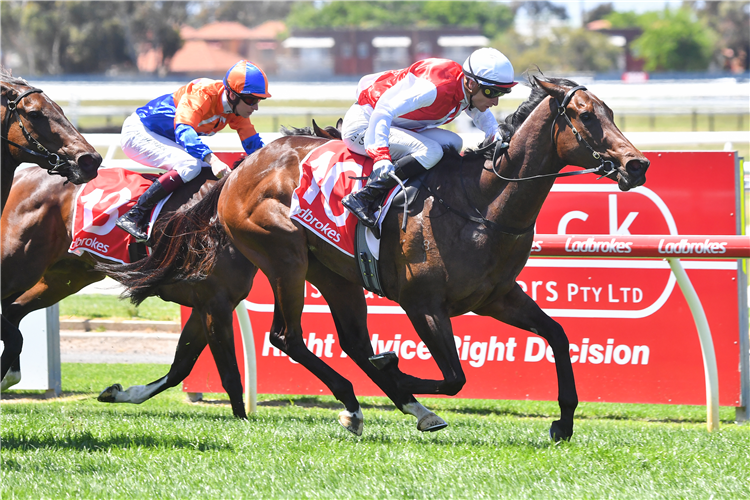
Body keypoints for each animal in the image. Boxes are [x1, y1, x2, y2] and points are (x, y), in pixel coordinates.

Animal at [103, 75, 648, 442]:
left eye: (611, 112)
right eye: (586, 116)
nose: (637, 164)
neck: (481, 202)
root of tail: (238, 168)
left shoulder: (496, 296)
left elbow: (557, 335)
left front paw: (564, 422)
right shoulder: (423, 303)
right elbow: (454, 377)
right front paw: (398, 371)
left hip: (335, 273)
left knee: (348, 340)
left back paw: (380, 404)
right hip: (284, 256)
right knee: (288, 336)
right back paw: (362, 399)